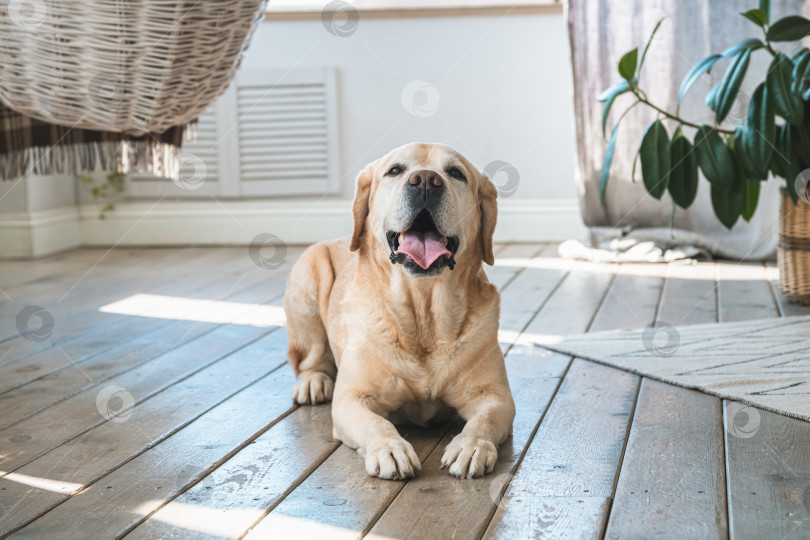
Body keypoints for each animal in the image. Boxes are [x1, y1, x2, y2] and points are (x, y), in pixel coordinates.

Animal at [280, 141, 516, 478]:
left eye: (456, 173)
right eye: (395, 170)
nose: (426, 181)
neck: (422, 310)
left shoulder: (495, 397)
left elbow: (483, 420)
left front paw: (471, 446)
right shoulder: (351, 399)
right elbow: (375, 423)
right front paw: (390, 449)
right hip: (306, 278)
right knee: (311, 359)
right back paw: (314, 382)